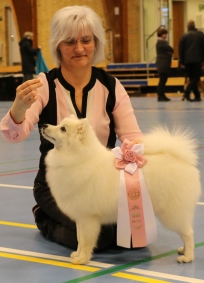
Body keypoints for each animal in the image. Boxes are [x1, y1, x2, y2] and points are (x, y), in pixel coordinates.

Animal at [41, 116, 201, 266]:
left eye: (63, 129)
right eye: (59, 124)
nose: (44, 125)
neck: (78, 158)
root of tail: (182, 161)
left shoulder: (88, 219)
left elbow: (85, 241)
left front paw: (82, 259)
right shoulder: (80, 219)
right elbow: (79, 239)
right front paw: (77, 255)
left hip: (172, 213)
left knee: (189, 233)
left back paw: (187, 256)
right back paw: (183, 250)